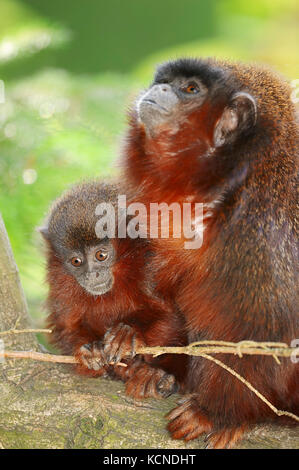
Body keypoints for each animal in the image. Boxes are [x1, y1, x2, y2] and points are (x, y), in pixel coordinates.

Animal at [39, 182, 188, 398]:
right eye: (76, 261)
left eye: (101, 255)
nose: (92, 274)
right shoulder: (60, 283)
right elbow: (65, 326)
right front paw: (88, 349)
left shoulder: (153, 264)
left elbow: (173, 316)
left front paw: (127, 333)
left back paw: (157, 375)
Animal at [119, 58, 298, 448]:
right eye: (164, 81)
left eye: (190, 89)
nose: (157, 90)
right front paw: (140, 344)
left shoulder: (263, 234)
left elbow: (265, 331)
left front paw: (217, 414)